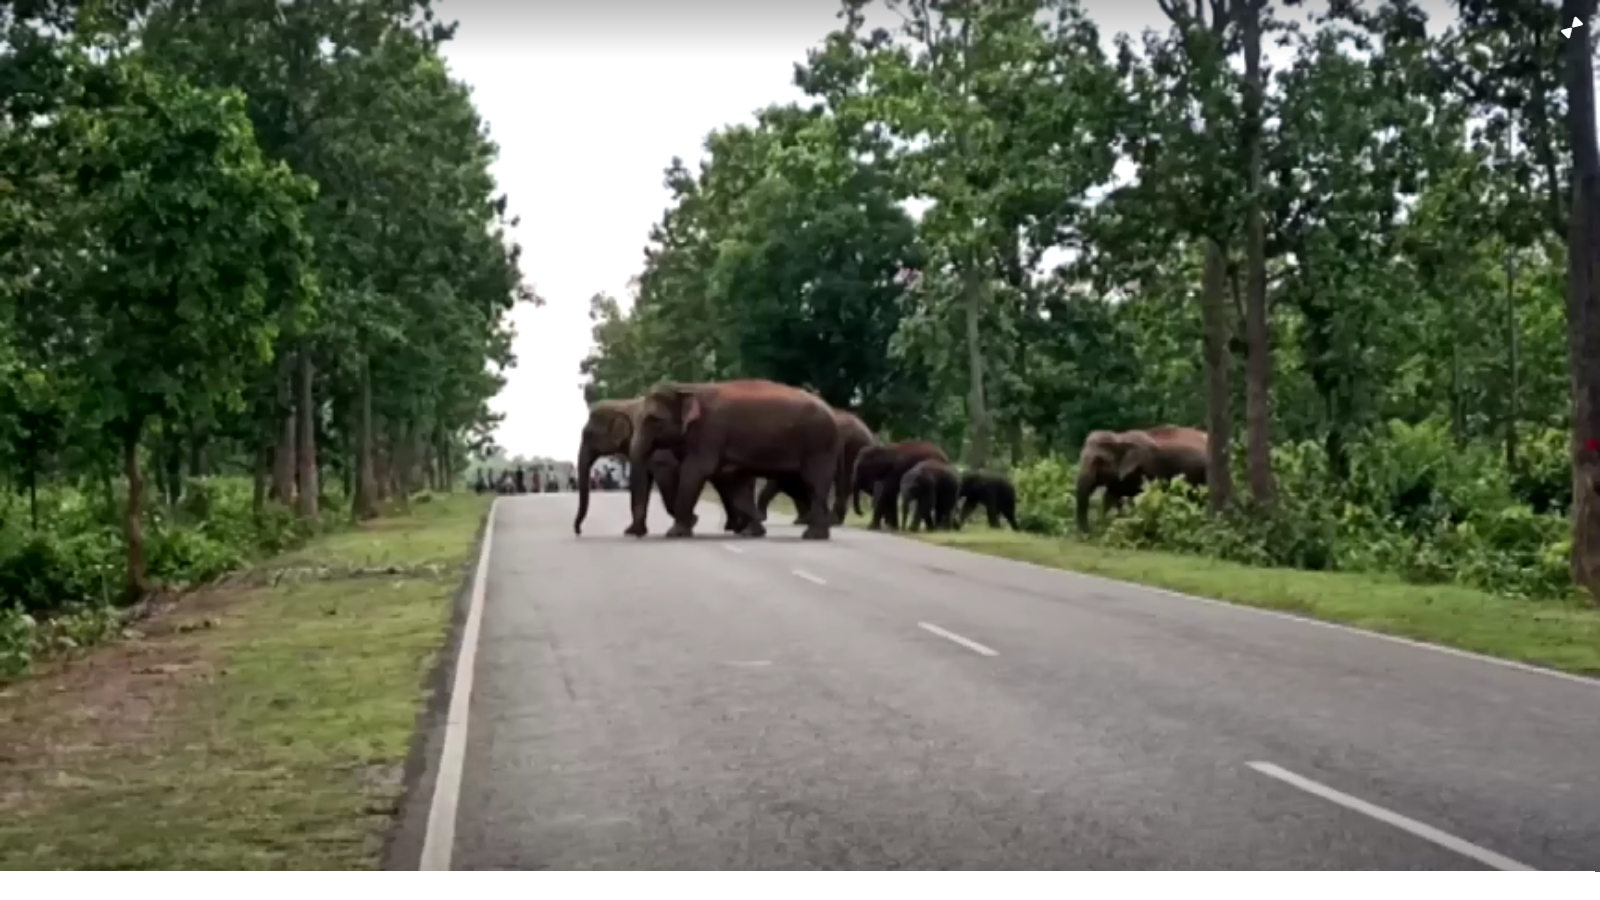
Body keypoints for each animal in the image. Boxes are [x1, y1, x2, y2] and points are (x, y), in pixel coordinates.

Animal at [572, 393, 752, 531]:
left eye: (588, 434)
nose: (579, 530)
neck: (623, 403)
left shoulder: (660, 452)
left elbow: (661, 478)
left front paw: (692, 520)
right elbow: (643, 480)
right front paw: (635, 530)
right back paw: (736, 527)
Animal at [627, 379, 844, 538]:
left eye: (654, 420)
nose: (636, 533)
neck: (689, 388)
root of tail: (831, 411)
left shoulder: (710, 434)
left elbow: (695, 471)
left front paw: (675, 533)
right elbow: (734, 484)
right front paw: (752, 531)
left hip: (819, 445)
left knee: (814, 484)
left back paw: (813, 535)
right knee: (806, 487)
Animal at [1068, 422, 1203, 528]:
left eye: (1099, 461)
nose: (1086, 535)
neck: (1120, 437)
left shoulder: (1149, 469)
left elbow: (1140, 497)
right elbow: (1110, 497)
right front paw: (1107, 525)